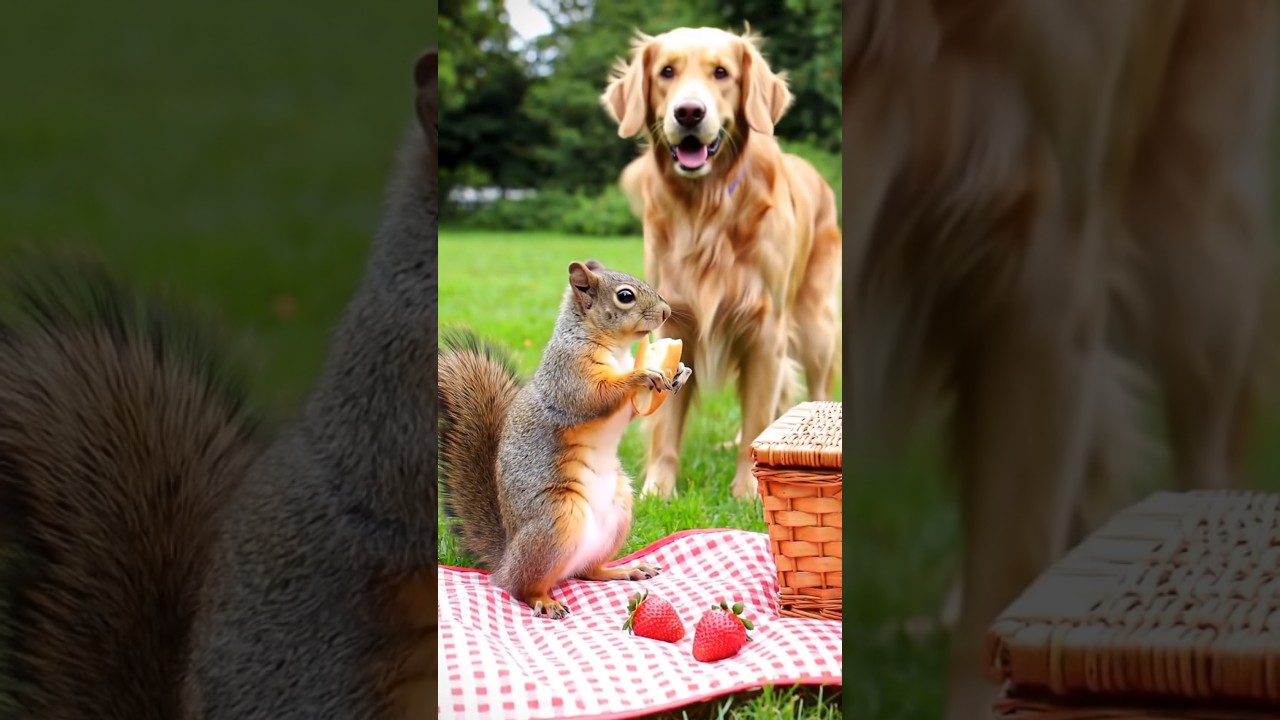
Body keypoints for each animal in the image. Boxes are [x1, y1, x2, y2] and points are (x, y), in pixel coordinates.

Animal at [439, 260, 693, 618]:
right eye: (625, 296)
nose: (667, 311)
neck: (616, 350)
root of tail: (505, 562)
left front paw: (680, 371)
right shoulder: (570, 372)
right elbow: (592, 398)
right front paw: (641, 375)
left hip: (617, 513)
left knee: (587, 570)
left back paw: (623, 569)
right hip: (557, 520)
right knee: (521, 587)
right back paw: (543, 600)